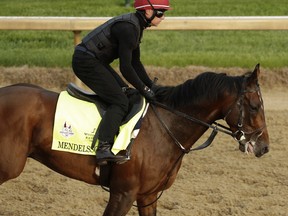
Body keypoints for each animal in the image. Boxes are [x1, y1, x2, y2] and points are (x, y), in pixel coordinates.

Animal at [0, 63, 270, 214]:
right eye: (255, 106)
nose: (264, 146)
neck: (165, 128)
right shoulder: (123, 193)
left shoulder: (147, 196)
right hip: (9, 167)